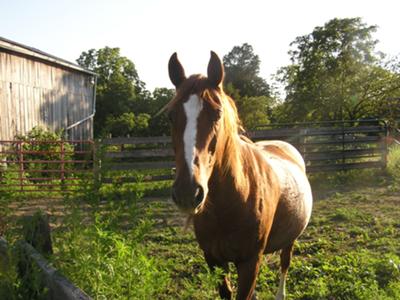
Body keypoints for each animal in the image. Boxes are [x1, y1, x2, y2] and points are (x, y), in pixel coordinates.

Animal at [166, 51, 312, 300]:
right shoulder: (213, 260)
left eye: (217, 114)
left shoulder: (249, 262)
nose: (188, 192)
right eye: (171, 116)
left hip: (290, 239)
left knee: (285, 263)